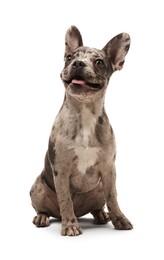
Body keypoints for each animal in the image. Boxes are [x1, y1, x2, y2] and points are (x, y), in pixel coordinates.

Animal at [29, 25, 133, 236]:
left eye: (99, 62)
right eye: (69, 57)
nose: (78, 63)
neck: (84, 111)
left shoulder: (109, 170)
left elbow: (113, 197)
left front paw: (119, 219)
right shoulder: (61, 170)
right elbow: (65, 199)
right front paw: (70, 225)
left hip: (98, 189)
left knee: (99, 205)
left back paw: (101, 215)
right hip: (37, 187)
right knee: (45, 208)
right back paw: (43, 217)